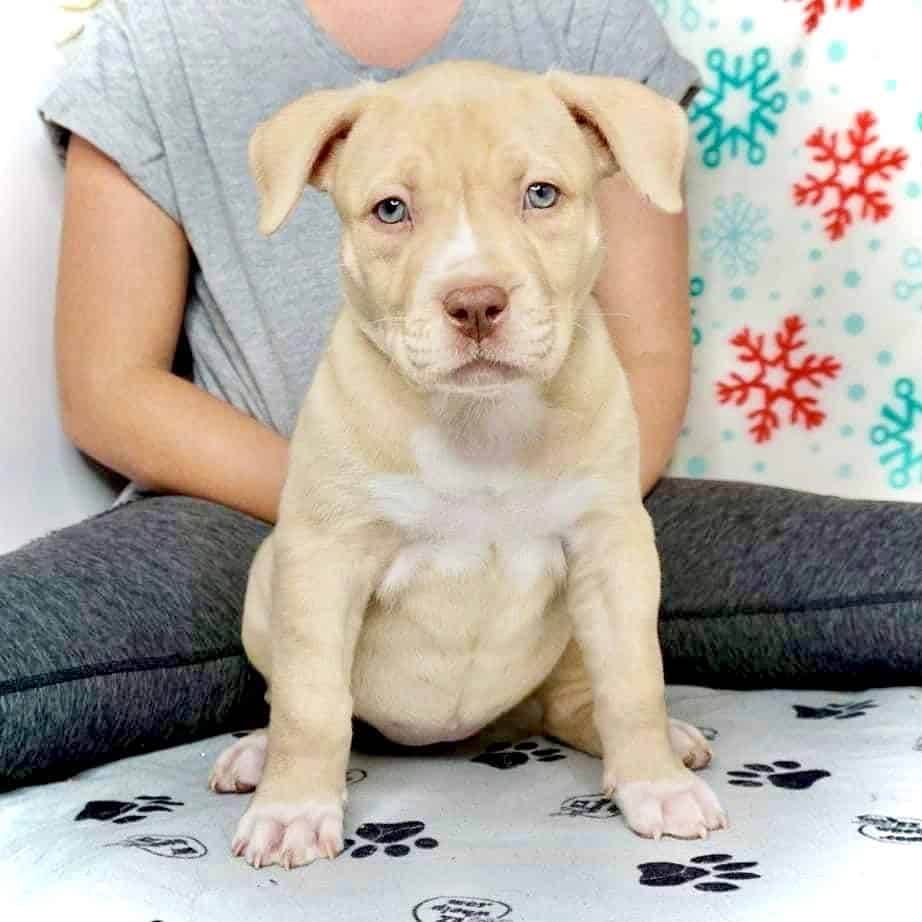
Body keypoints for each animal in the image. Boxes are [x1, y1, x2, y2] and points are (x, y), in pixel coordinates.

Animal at [210, 61, 724, 868]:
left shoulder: (612, 550)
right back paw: (257, 757)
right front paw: (292, 809)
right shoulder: (323, 559)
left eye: (541, 194)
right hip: (270, 584)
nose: (476, 302)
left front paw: (657, 784)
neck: (481, 422)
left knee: (576, 702)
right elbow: (310, 701)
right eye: (390, 210)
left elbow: (635, 681)